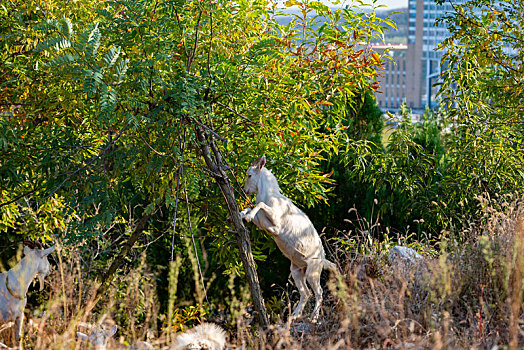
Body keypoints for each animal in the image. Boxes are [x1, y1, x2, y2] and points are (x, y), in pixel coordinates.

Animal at [241, 157, 338, 322]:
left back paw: (313, 318)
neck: (271, 196)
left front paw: (246, 216)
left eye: (249, 175)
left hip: (313, 271)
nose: (246, 190)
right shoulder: (264, 224)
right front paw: (243, 214)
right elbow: (253, 208)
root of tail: (322, 258)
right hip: (297, 271)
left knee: (318, 292)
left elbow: (259, 204)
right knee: (306, 293)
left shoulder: (276, 222)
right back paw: (294, 316)